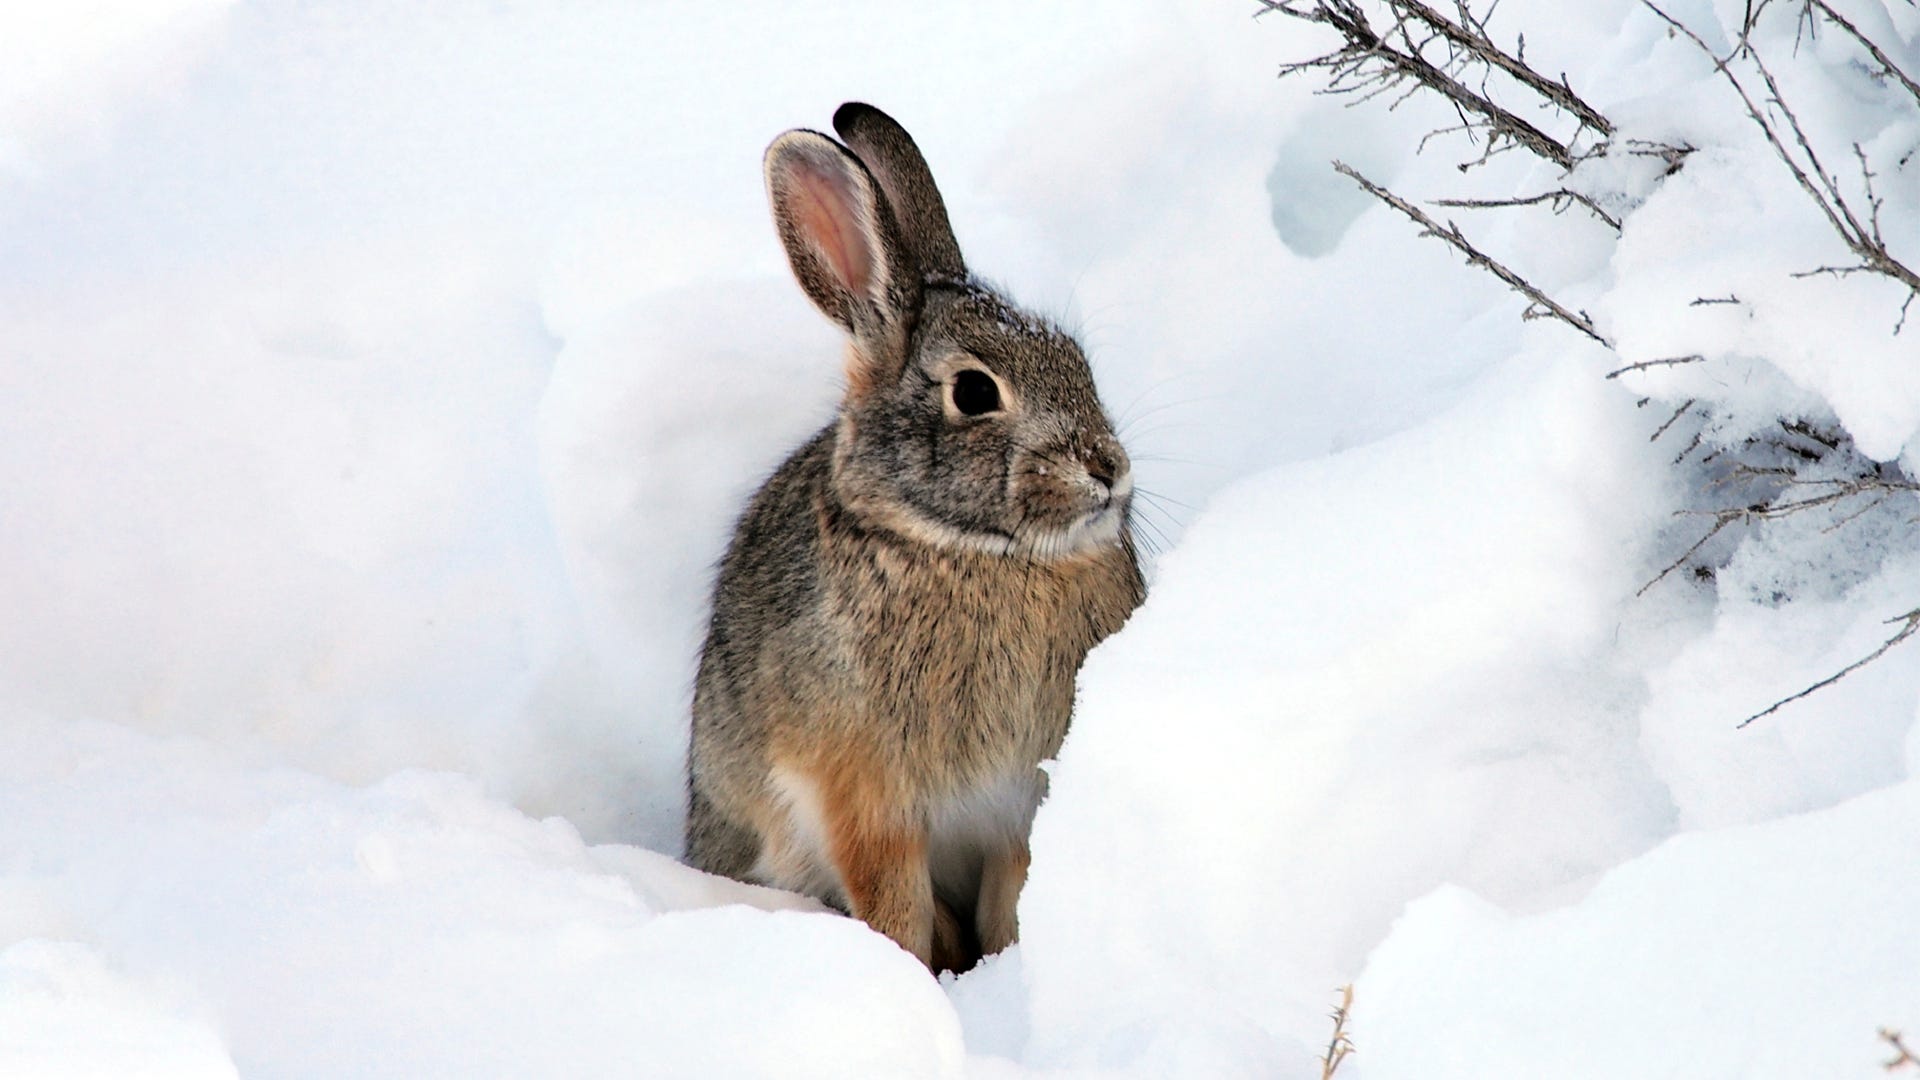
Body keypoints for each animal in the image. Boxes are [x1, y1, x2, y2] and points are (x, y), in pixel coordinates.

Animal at [687, 100, 1144, 972]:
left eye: (1077, 360)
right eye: (975, 392)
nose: (1109, 468)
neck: (973, 551)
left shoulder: (1018, 804)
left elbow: (1013, 896)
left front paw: (1005, 972)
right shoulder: (868, 800)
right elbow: (894, 905)